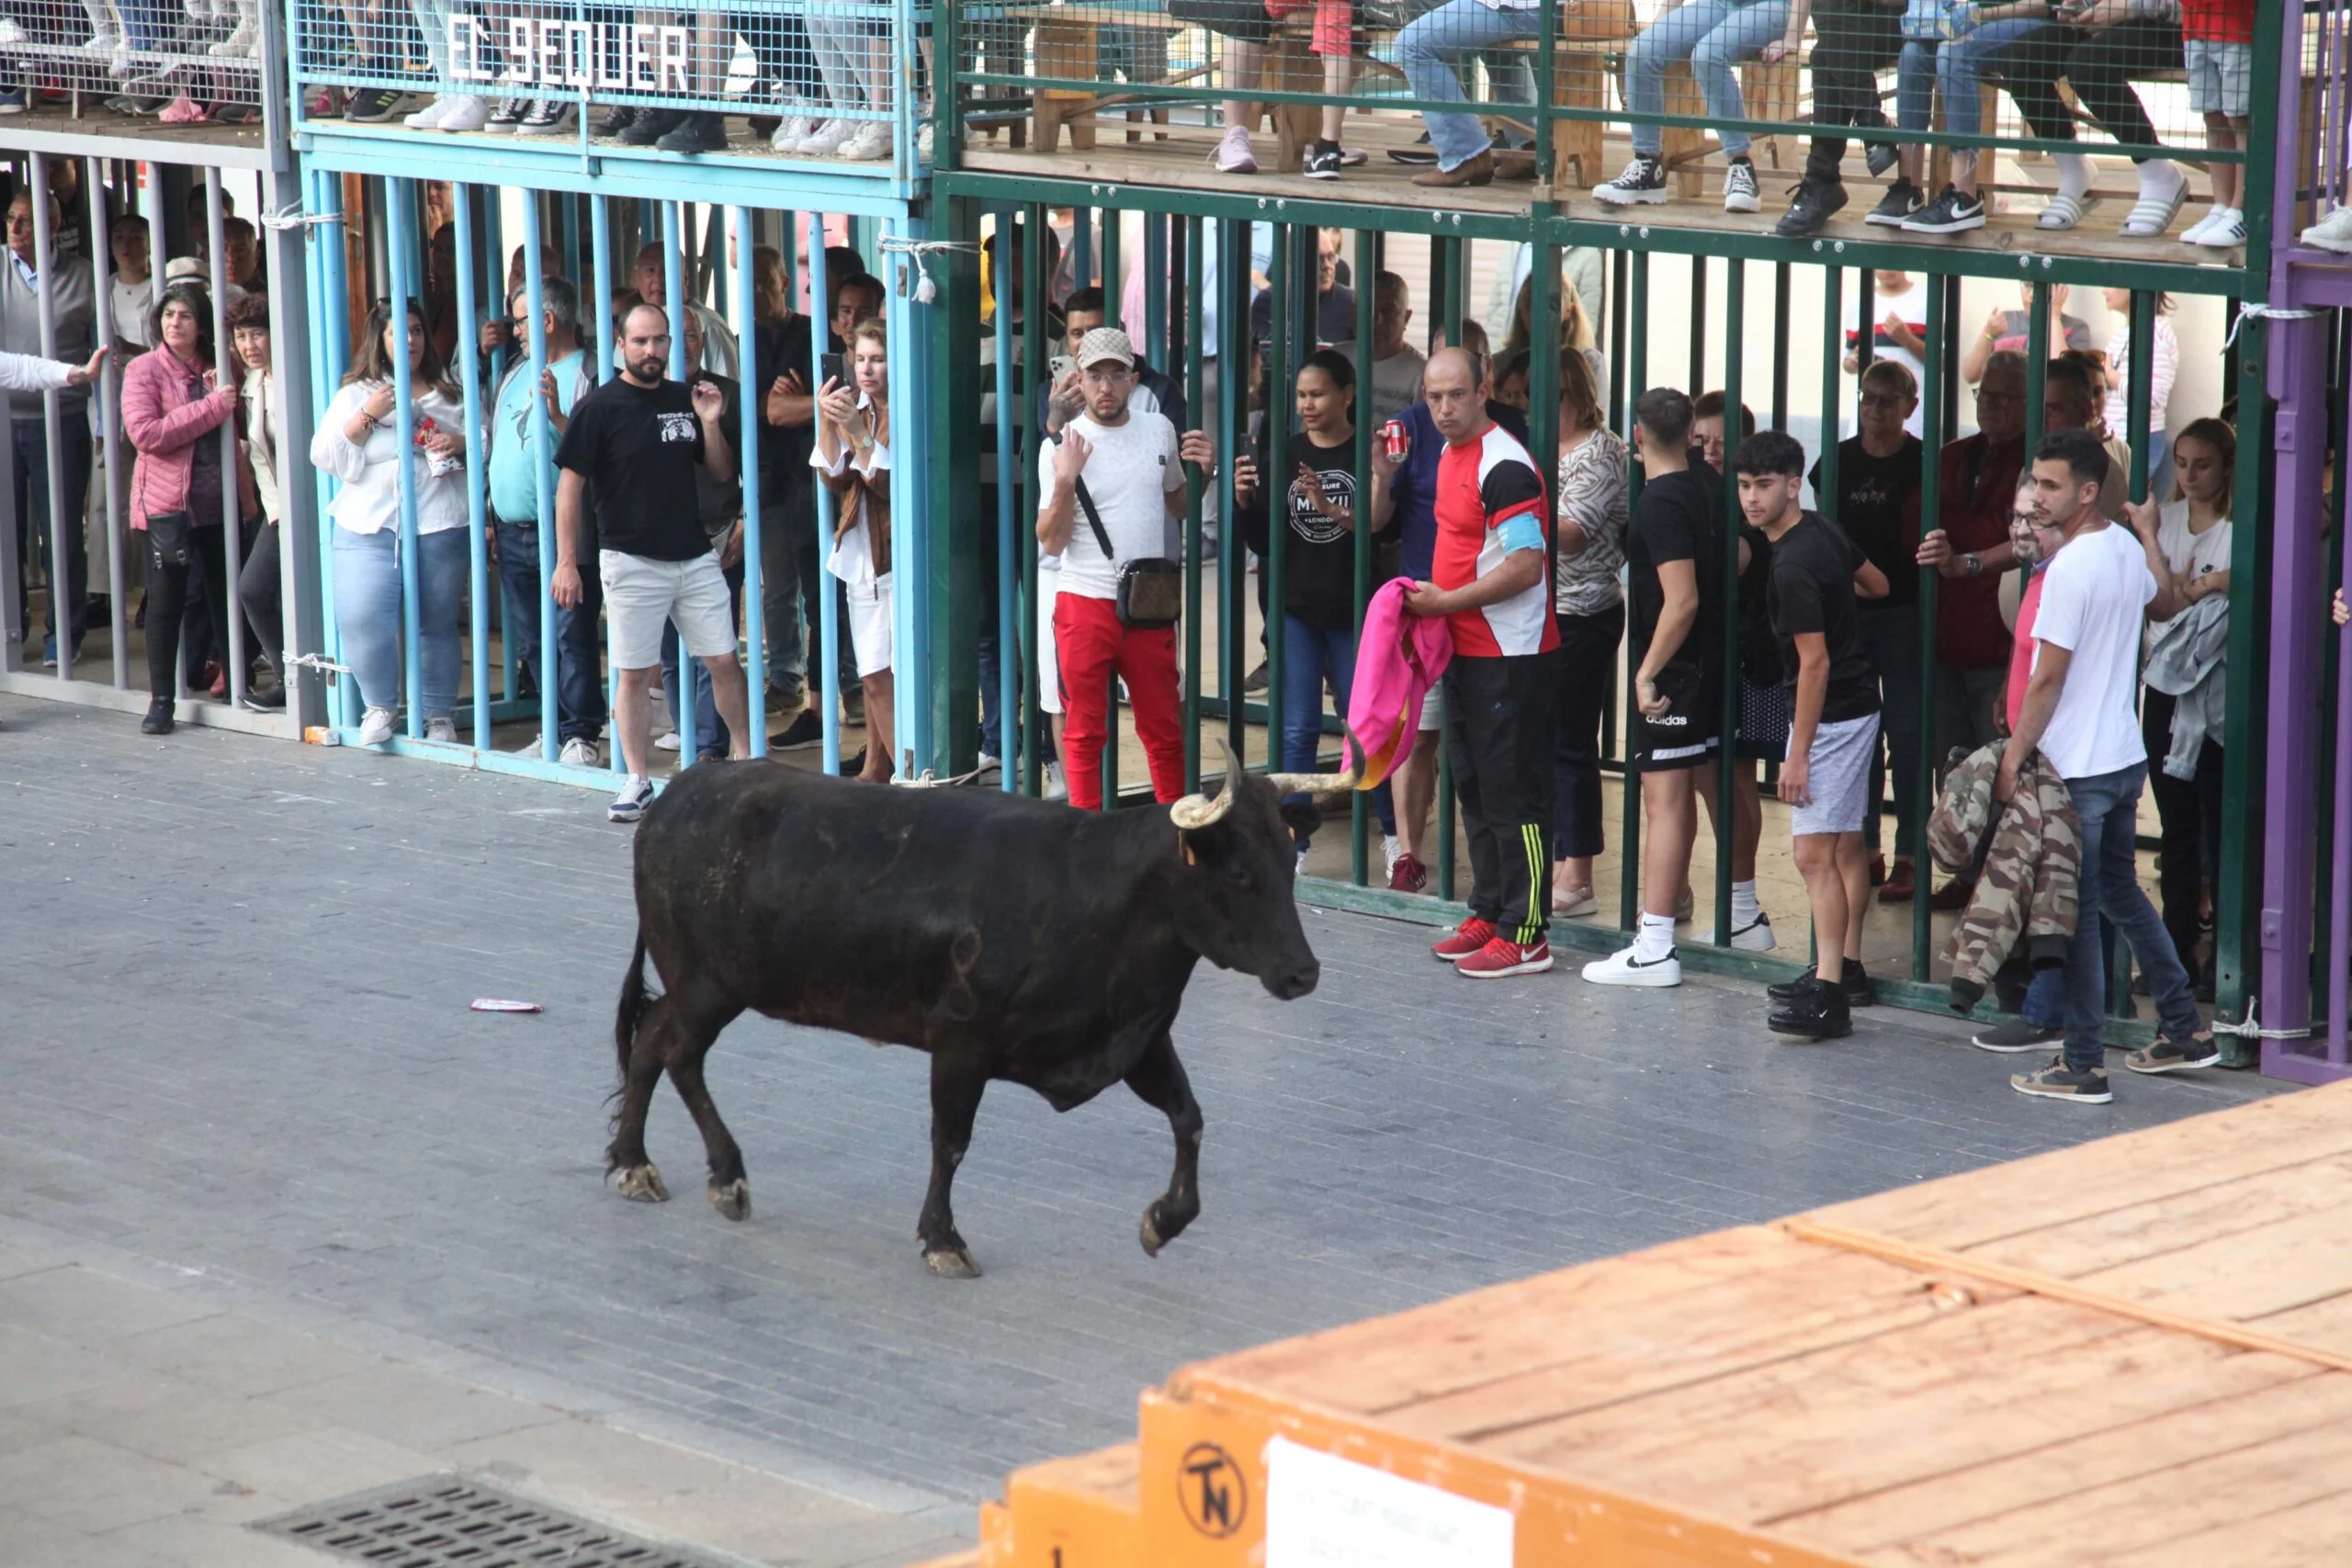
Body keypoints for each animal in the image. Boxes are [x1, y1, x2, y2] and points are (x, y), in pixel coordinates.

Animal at [606, 747, 1354, 1279]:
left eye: (1287, 858)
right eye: (1239, 872)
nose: (1303, 972)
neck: (1102, 895)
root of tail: (680, 795)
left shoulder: (1137, 1041)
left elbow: (1189, 1117)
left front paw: (1164, 1220)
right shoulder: (961, 1046)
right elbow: (951, 1141)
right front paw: (943, 1238)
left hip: (703, 987)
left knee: (650, 1042)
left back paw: (633, 1162)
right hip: (707, 986)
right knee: (676, 1051)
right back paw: (722, 1176)